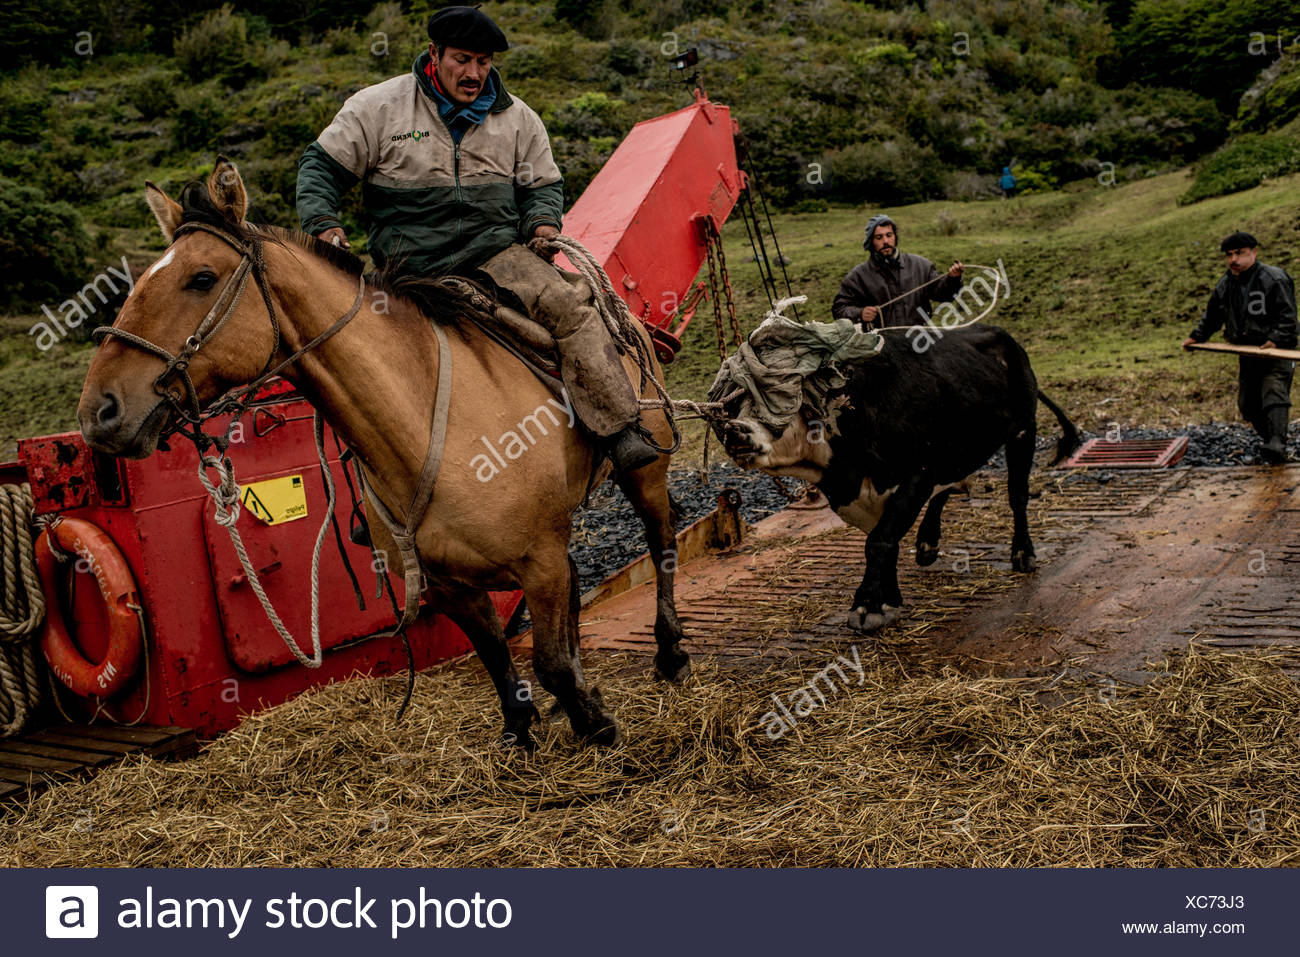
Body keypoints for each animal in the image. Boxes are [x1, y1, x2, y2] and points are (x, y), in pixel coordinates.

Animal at [77, 159, 690, 749]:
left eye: (201, 279)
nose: (99, 412)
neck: (421, 426)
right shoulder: (451, 585)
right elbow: (499, 660)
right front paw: (522, 731)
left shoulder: (536, 560)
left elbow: (551, 664)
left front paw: (596, 724)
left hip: (646, 472)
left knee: (661, 540)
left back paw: (670, 652)